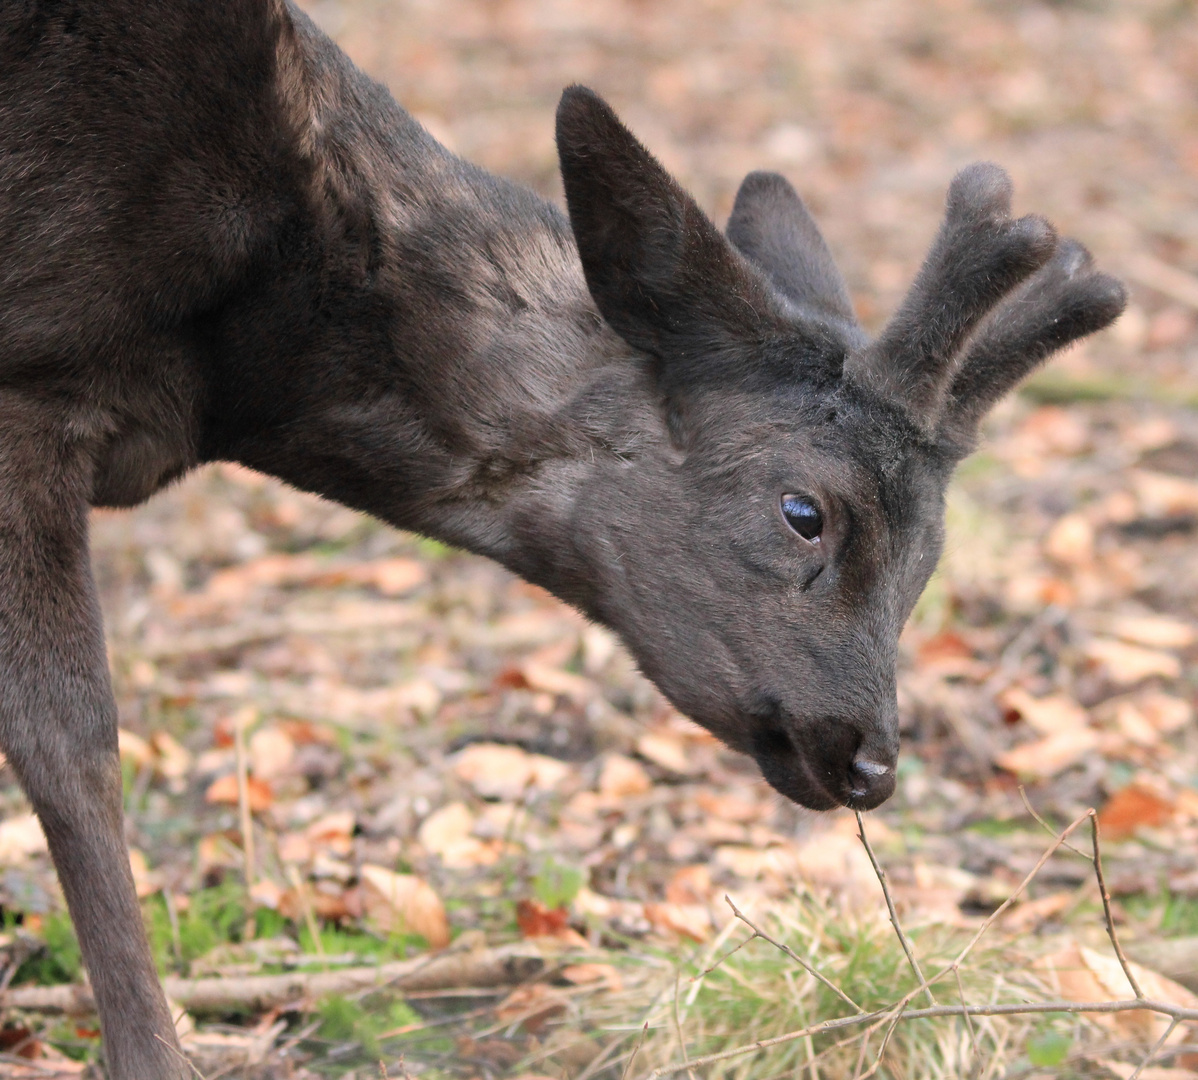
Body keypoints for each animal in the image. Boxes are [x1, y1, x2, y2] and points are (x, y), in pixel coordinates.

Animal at [0, 2, 1121, 1080]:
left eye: (931, 555)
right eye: (804, 511)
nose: (870, 762)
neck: (244, 361)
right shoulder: (31, 384)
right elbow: (72, 743)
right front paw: (153, 1057)